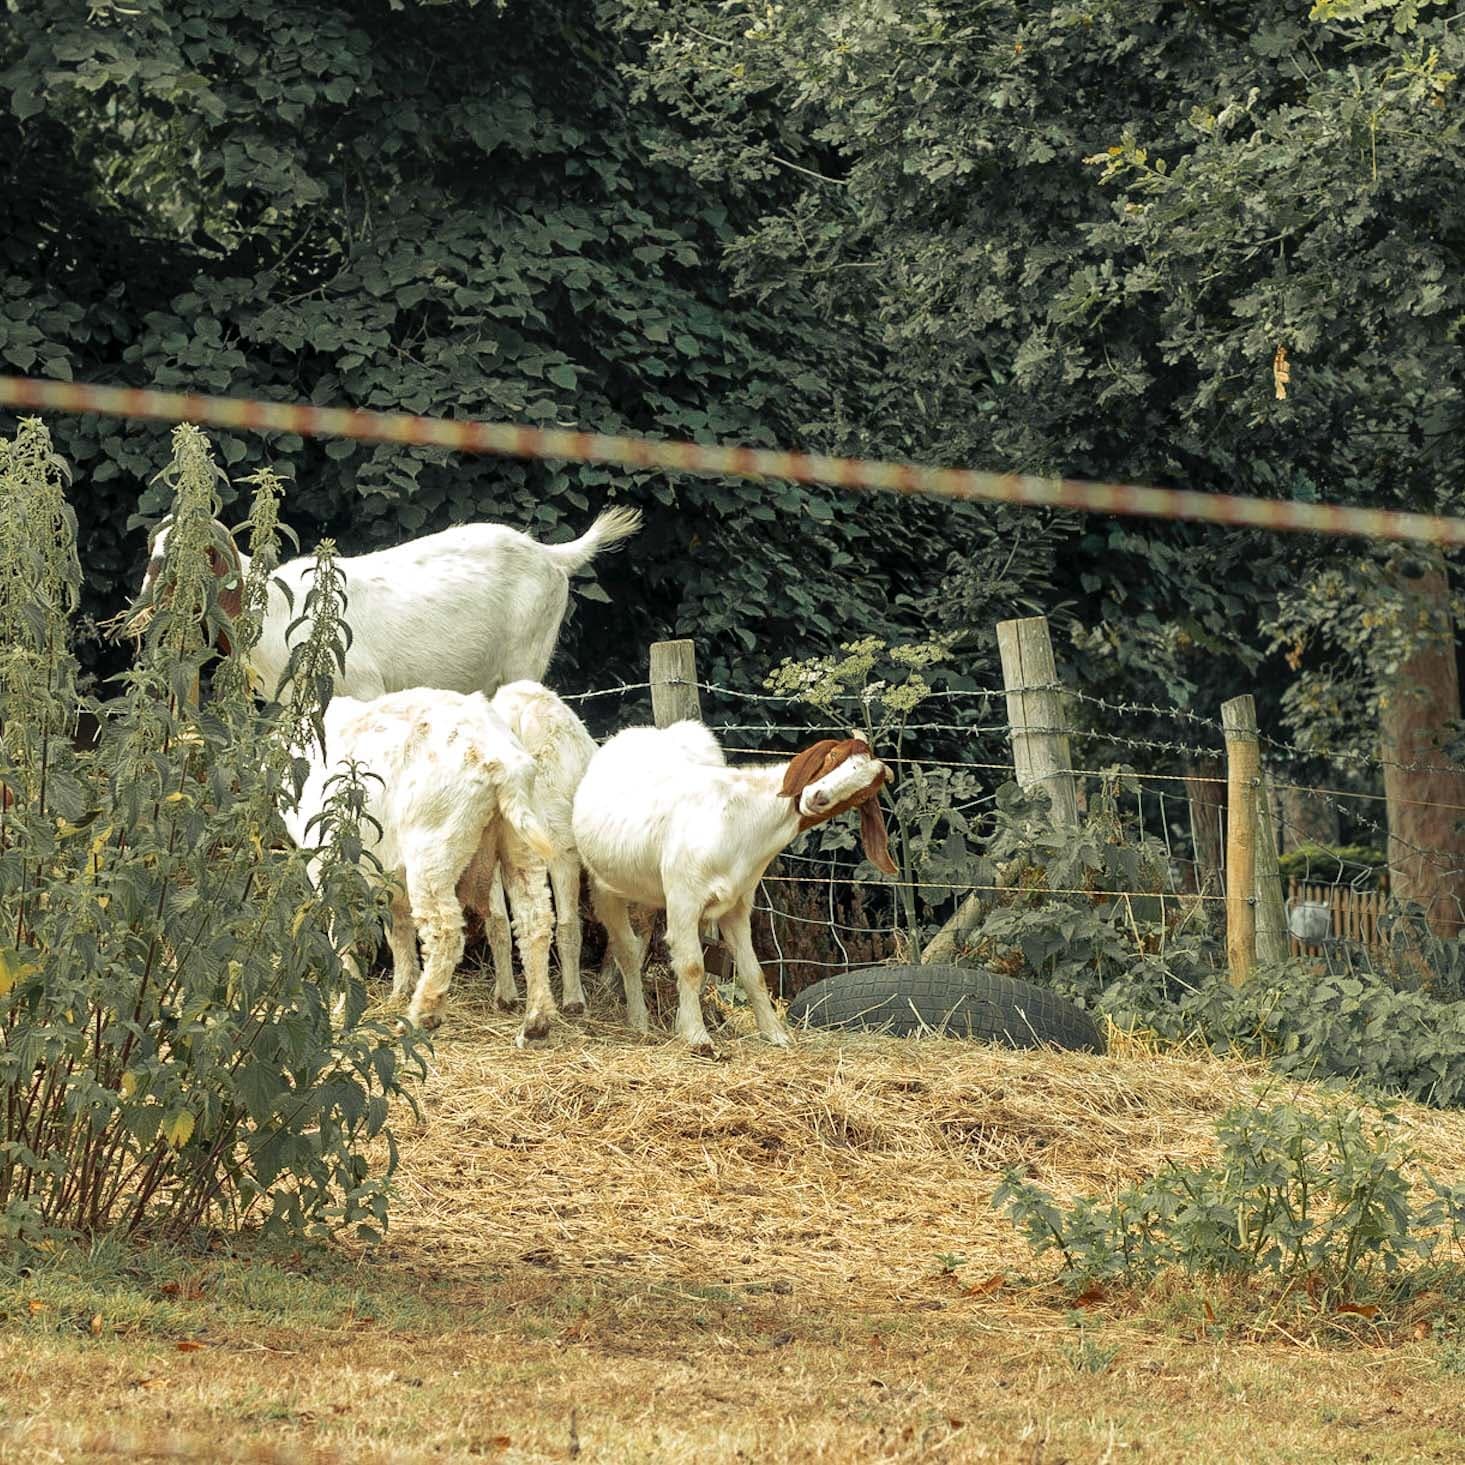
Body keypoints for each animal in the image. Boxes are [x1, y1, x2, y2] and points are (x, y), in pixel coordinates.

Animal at [129, 506, 642, 700]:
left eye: (189, 554)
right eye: (153, 554)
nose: (142, 611)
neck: (271, 608)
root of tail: (552, 555)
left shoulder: (361, 688)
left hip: (525, 662)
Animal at [282, 688, 559, 1041]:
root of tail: (502, 763)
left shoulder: (329, 865)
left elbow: (342, 932)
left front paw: (346, 1003)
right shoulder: (390, 875)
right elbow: (398, 928)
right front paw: (400, 991)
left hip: (433, 851)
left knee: (445, 932)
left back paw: (421, 1016)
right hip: (521, 846)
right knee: (534, 919)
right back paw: (536, 1023)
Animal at [571, 724, 896, 1055]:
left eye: (862, 793)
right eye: (833, 756)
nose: (818, 797)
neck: (742, 821)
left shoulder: (738, 905)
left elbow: (753, 973)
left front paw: (775, 1034)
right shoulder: (684, 897)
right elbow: (692, 966)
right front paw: (697, 1037)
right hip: (606, 886)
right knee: (626, 950)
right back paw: (639, 1021)